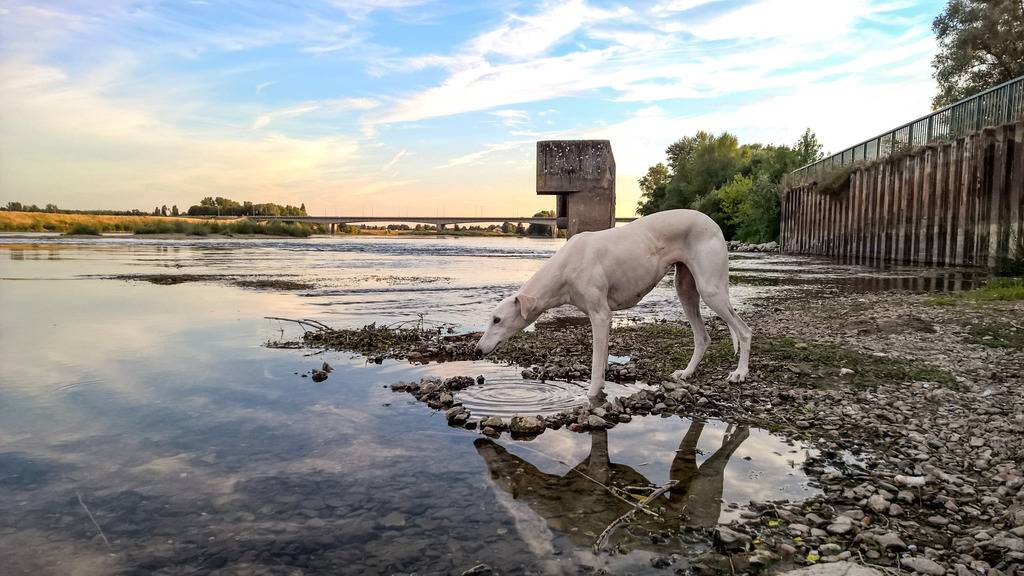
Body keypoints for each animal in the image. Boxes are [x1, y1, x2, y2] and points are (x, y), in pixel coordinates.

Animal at [473, 208, 753, 401]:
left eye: (497, 320)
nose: (476, 350)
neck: (566, 265)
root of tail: (714, 224)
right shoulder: (602, 317)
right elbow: (603, 358)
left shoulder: (600, 315)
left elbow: (597, 363)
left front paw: (591, 394)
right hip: (685, 290)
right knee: (703, 337)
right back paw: (686, 373)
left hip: (710, 290)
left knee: (745, 331)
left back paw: (740, 373)